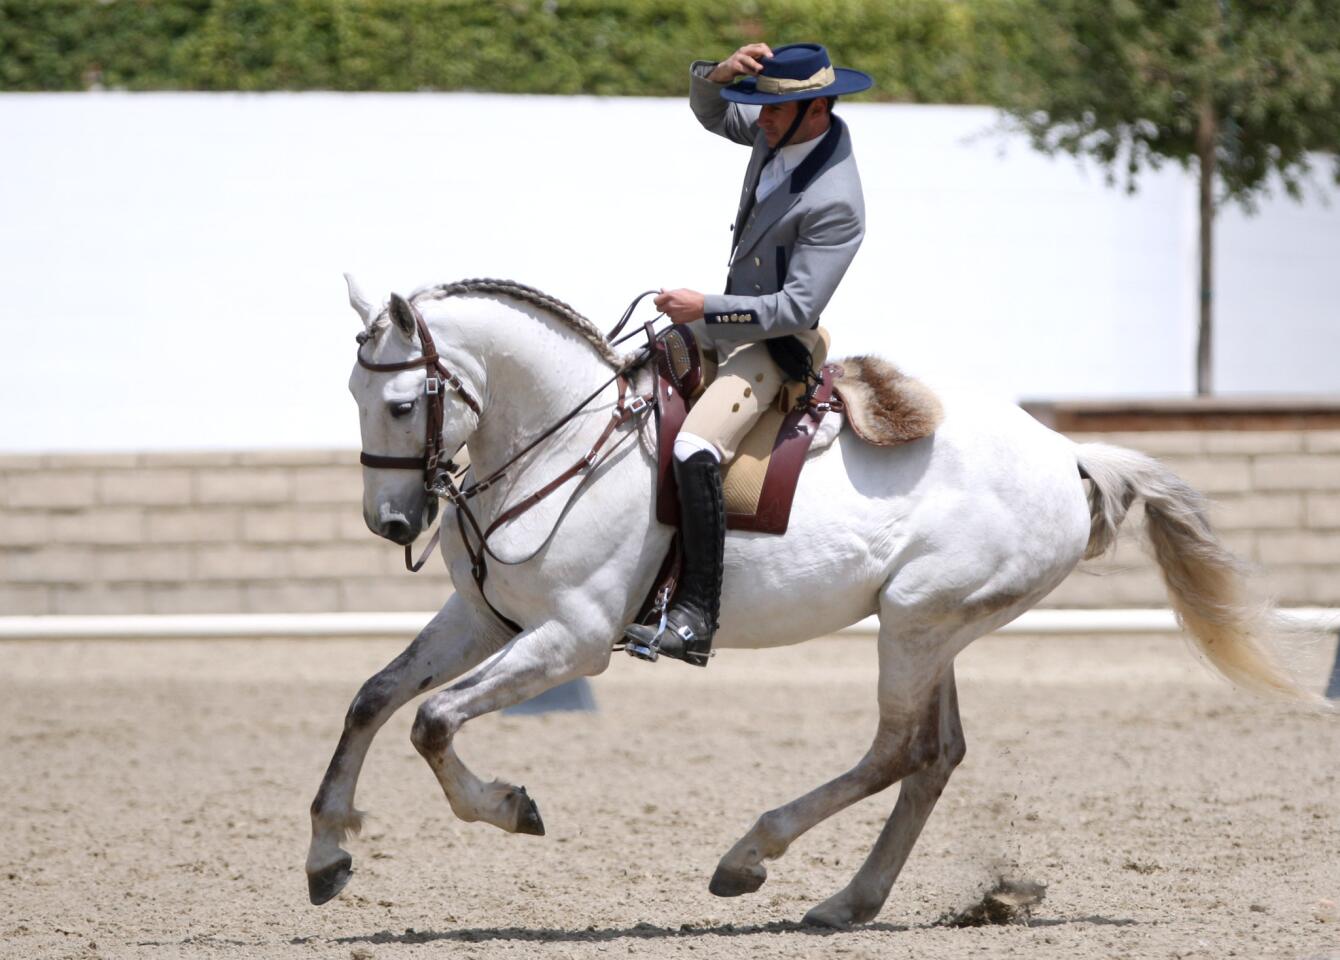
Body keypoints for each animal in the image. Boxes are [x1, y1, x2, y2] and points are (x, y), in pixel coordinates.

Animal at [308, 277, 1323, 927]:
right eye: (352, 390)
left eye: (400, 402)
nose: (391, 522)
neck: (562, 443)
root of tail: (1070, 454)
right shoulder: (490, 618)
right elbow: (373, 697)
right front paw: (327, 853)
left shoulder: (572, 640)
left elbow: (433, 721)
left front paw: (510, 807)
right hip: (932, 628)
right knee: (934, 756)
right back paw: (849, 902)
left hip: (915, 620)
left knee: (896, 750)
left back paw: (750, 857)